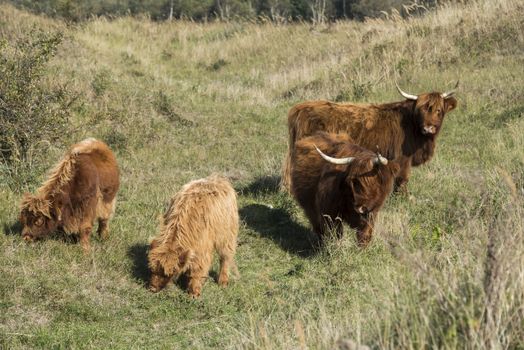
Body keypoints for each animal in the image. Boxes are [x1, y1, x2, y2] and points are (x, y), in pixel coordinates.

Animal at [280, 82, 456, 193]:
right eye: (421, 110)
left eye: (439, 110)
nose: (428, 127)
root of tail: (300, 108)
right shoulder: (403, 159)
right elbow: (402, 180)